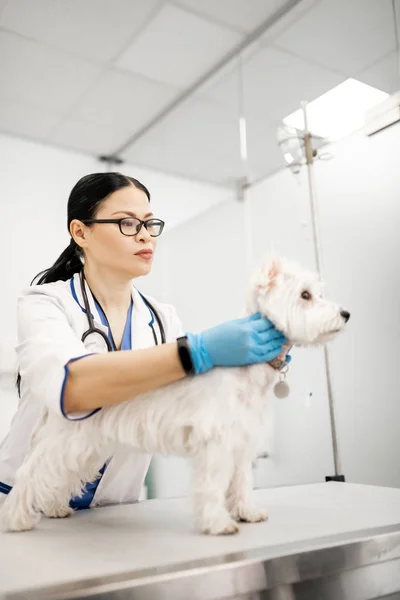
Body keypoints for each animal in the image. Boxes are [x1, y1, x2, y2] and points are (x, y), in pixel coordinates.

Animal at [0, 255, 348, 536]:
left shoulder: (241, 441)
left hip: (86, 450)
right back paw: (17, 519)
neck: (247, 370)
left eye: (317, 293)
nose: (345, 313)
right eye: (305, 295)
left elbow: (242, 481)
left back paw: (55, 507)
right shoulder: (216, 442)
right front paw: (218, 523)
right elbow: (213, 484)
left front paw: (247, 512)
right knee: (30, 473)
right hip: (67, 441)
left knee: (59, 476)